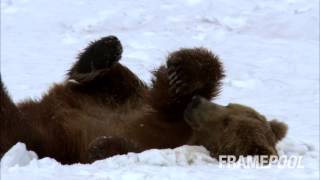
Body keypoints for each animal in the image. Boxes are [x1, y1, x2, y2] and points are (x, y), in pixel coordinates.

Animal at [0, 35, 288, 164]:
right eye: (228, 108)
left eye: (226, 122)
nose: (196, 102)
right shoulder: (160, 112)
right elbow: (167, 94)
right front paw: (182, 73)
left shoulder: (159, 140)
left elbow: (118, 146)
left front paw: (103, 144)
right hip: (102, 97)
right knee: (113, 79)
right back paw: (101, 53)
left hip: (45, 138)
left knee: (20, 128)